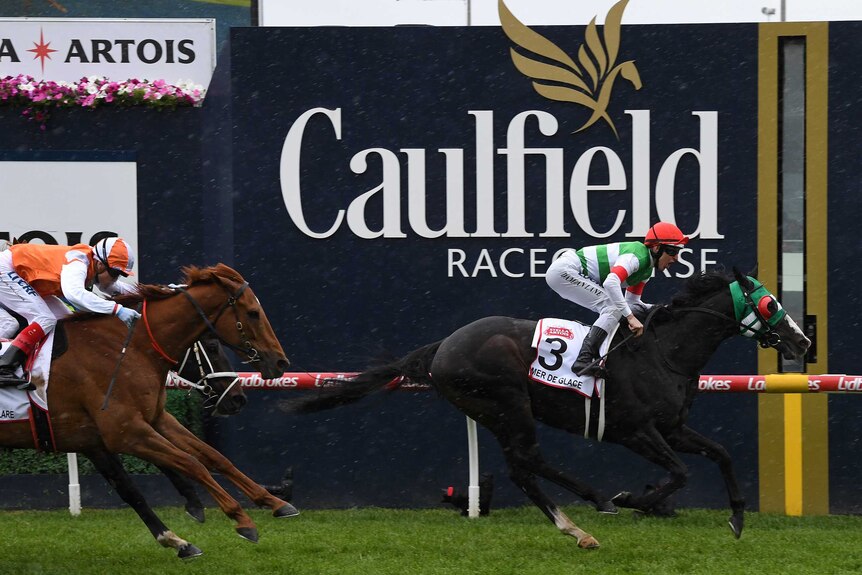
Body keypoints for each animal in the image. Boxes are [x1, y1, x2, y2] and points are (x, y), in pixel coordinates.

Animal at [0, 264, 294, 560]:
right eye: (253, 313)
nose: (280, 362)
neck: (127, 348)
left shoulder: (138, 424)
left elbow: (210, 458)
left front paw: (273, 501)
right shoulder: (125, 433)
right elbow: (191, 463)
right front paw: (240, 519)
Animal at [290, 270, 808, 548]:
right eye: (769, 302)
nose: (802, 341)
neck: (664, 352)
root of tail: (442, 347)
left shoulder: (673, 427)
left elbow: (720, 453)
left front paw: (737, 518)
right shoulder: (635, 430)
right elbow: (679, 473)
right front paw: (633, 500)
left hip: (494, 412)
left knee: (524, 465)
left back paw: (582, 518)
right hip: (506, 402)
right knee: (525, 463)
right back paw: (590, 510)